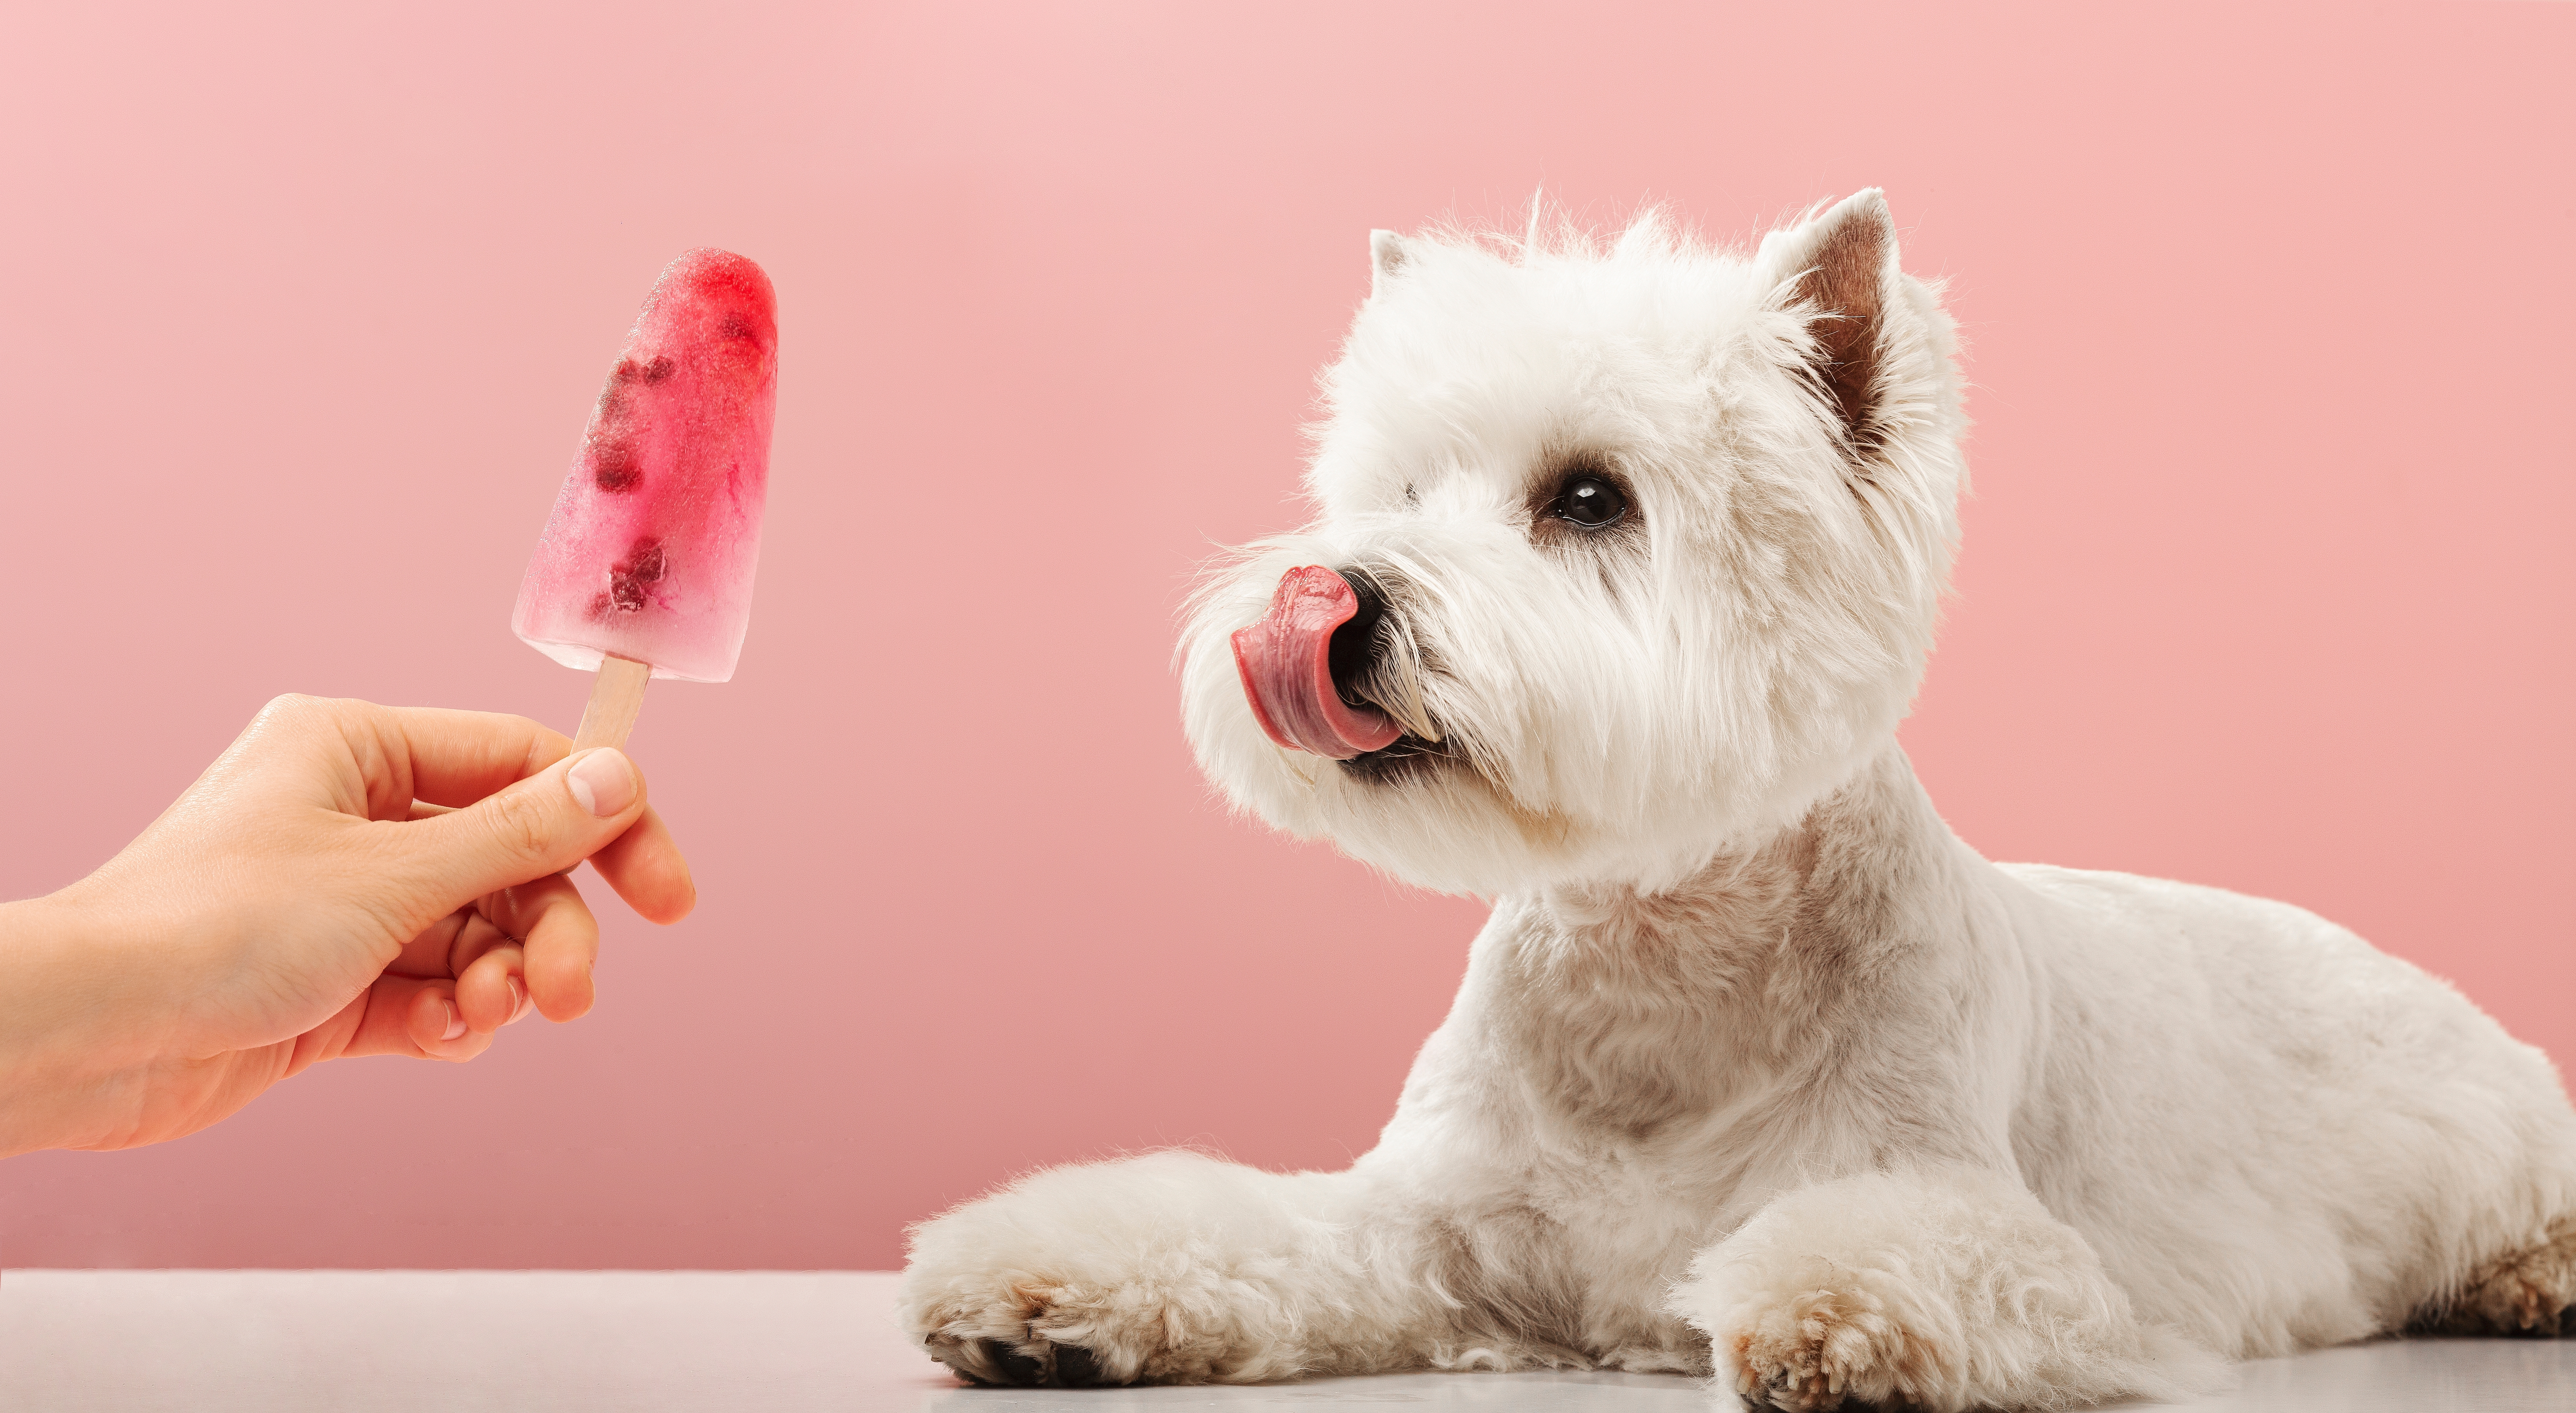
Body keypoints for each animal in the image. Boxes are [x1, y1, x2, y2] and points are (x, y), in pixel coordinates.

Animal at [891, 193, 2576, 1400]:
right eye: (1397, 489)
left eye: (1587, 499)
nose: (1332, 600)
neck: (1658, 966)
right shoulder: (1424, 1217)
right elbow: (1252, 1224)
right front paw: (1043, 1292)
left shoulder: (1976, 1212)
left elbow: (1901, 1256)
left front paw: (1829, 1323)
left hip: (2493, 1117)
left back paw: (2528, 1277)